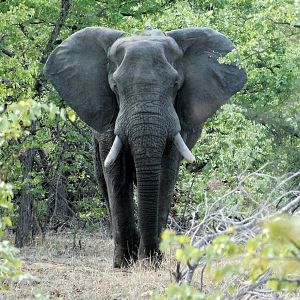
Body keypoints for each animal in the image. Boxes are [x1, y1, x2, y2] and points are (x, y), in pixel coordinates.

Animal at [44, 25, 246, 268]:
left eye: (175, 84)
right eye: (115, 86)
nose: (147, 257)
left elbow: (165, 174)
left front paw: (150, 262)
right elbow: (116, 173)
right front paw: (124, 264)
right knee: (103, 180)